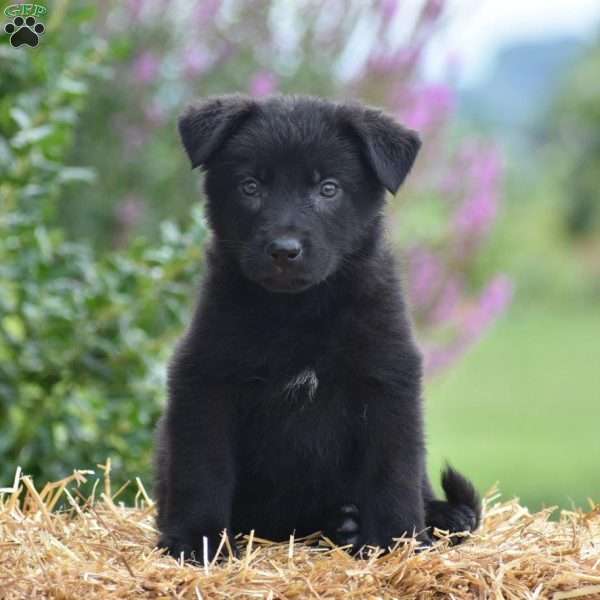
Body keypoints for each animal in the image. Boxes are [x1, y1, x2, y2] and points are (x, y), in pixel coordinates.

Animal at [154, 94, 478, 564]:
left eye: (328, 188)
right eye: (251, 186)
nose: (283, 250)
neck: (299, 313)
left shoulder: (389, 380)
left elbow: (393, 474)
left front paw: (397, 543)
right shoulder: (205, 378)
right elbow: (203, 469)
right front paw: (198, 541)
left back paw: (432, 517)